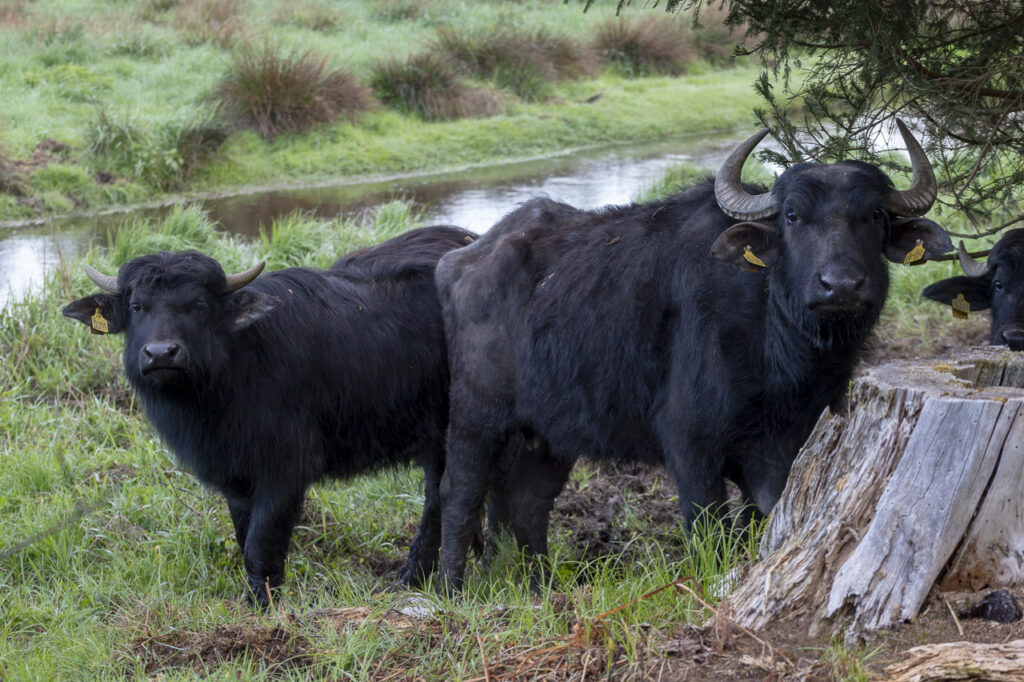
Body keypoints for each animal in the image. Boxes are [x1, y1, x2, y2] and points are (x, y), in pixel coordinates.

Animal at [62, 224, 475, 606]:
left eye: (199, 306)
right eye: (137, 306)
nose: (161, 353)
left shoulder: (285, 471)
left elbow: (262, 538)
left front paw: (263, 599)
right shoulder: (235, 475)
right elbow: (244, 534)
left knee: (441, 499)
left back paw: (412, 575)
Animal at [436, 119, 954, 585]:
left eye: (875, 215)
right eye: (792, 215)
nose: (840, 285)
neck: (782, 354)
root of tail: (463, 260)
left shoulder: (793, 442)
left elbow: (764, 518)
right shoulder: (690, 442)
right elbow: (710, 529)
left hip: (547, 431)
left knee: (527, 503)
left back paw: (540, 587)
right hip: (475, 418)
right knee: (459, 496)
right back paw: (452, 589)